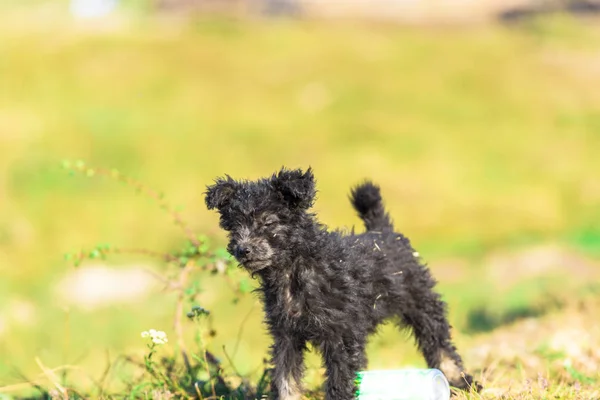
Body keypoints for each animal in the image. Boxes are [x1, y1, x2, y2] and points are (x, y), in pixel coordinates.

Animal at [205, 167, 478, 398]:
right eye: (234, 227)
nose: (243, 250)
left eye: (268, 222)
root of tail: (382, 231)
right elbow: (286, 378)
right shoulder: (286, 335)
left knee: (439, 343)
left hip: (420, 300)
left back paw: (459, 381)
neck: (293, 272)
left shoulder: (339, 334)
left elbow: (339, 380)